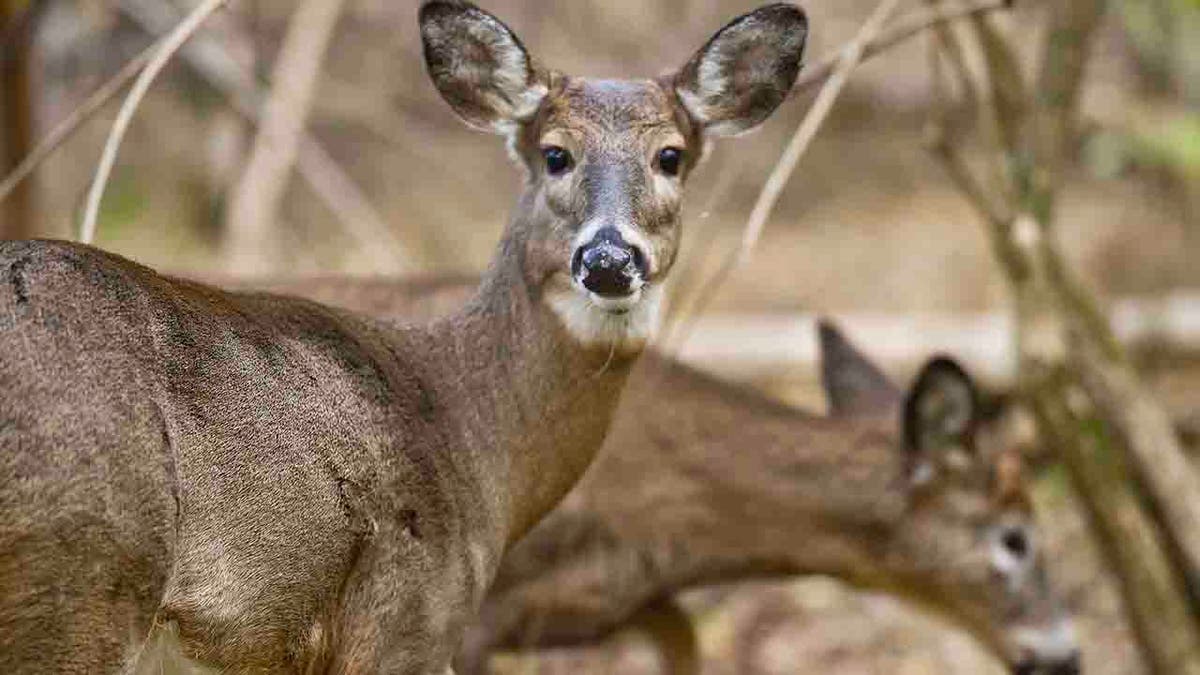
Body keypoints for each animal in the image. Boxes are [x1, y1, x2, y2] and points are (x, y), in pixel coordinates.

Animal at [0, 2, 811, 667]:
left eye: (670, 156)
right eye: (555, 152)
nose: (609, 259)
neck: (470, 433)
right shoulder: (408, 620)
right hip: (82, 577)